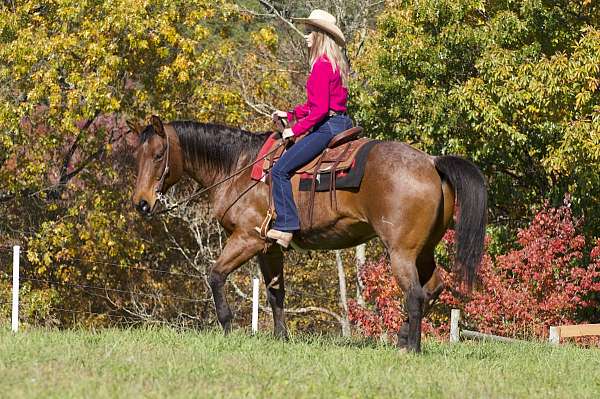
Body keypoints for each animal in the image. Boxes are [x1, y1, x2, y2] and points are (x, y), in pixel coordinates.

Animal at [131, 115, 488, 354]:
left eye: (159, 155)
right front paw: (281, 338)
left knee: (414, 295)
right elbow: (275, 293)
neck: (239, 168)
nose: (142, 203)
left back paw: (410, 348)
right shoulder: (269, 248)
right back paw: (403, 339)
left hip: (401, 251)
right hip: (423, 250)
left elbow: (216, 276)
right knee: (433, 288)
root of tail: (431, 162)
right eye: (137, 156)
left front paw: (228, 327)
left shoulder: (247, 239)